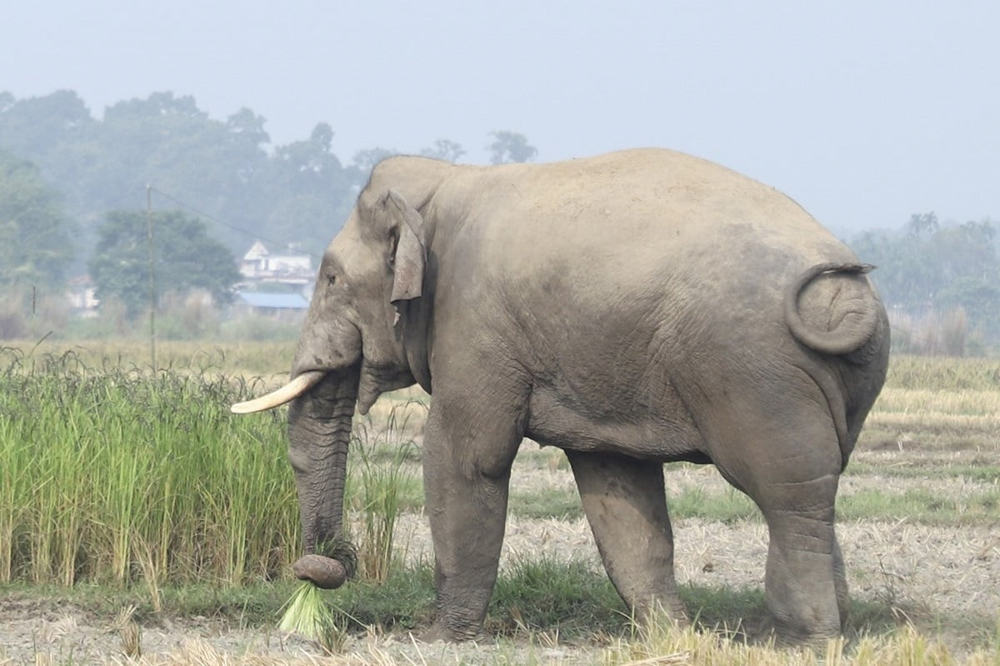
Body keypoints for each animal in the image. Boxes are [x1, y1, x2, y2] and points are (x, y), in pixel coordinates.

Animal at [234, 147, 892, 644]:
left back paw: (808, 641)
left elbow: (467, 456)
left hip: (755, 371)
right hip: (842, 376)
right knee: (819, 484)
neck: (445, 183)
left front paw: (443, 638)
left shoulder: (474, 321)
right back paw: (831, 630)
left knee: (788, 492)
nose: (323, 567)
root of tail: (845, 285)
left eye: (330, 277)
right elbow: (615, 489)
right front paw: (672, 637)